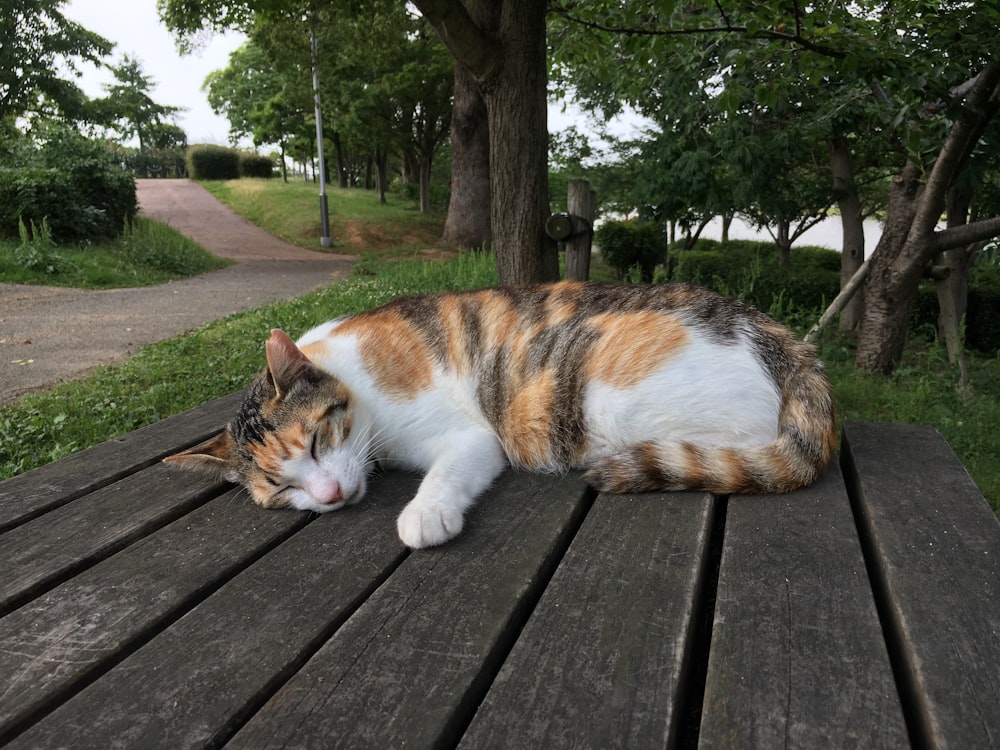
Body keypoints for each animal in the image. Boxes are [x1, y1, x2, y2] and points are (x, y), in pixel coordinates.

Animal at [164, 280, 836, 548]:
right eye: (282, 489)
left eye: (314, 442)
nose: (327, 495)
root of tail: (787, 345)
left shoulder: (473, 436)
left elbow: (448, 473)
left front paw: (425, 515)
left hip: (607, 394)